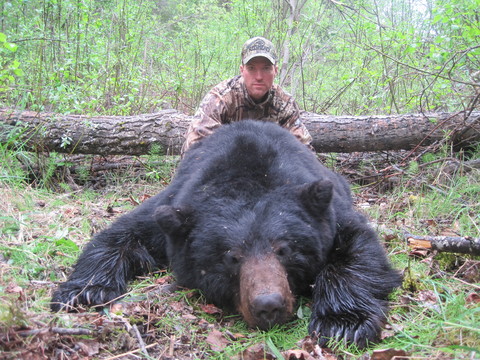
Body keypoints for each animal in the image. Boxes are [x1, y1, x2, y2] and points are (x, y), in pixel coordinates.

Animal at [51, 121, 402, 348]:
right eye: (232, 257)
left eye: (284, 249)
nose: (269, 305)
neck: (247, 167)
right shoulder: (174, 206)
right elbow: (122, 234)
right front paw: (85, 292)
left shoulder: (327, 212)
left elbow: (357, 248)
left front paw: (344, 323)